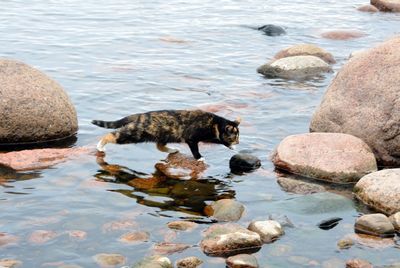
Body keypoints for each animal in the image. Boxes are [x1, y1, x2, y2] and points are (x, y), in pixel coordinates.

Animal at [91, 109, 241, 160]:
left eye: (238, 136)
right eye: (234, 136)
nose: (238, 142)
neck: (215, 124)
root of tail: (139, 116)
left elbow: (219, 140)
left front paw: (232, 147)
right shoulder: (191, 138)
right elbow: (195, 149)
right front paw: (199, 158)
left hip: (163, 135)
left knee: (159, 146)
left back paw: (173, 149)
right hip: (134, 134)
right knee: (111, 135)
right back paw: (100, 146)